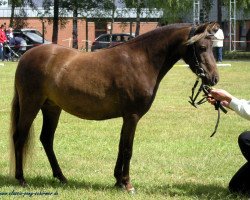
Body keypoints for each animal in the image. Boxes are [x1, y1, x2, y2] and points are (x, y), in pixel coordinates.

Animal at [10, 21, 219, 192]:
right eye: (202, 47)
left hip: (52, 108)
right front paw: (127, 184)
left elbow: (121, 146)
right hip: (31, 104)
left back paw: (61, 177)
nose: (214, 78)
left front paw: (118, 181)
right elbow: (127, 149)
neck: (141, 60)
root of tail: (26, 55)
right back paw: (21, 179)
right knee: (20, 137)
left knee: (47, 139)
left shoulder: (127, 117)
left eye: (212, 46)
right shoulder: (132, 116)